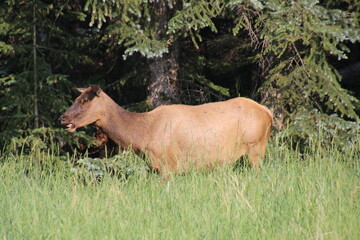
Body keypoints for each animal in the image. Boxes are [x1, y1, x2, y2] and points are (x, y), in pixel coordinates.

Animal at [59, 85, 272, 177]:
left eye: (84, 101)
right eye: (76, 99)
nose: (63, 117)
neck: (142, 136)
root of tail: (268, 112)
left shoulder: (167, 165)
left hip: (255, 148)